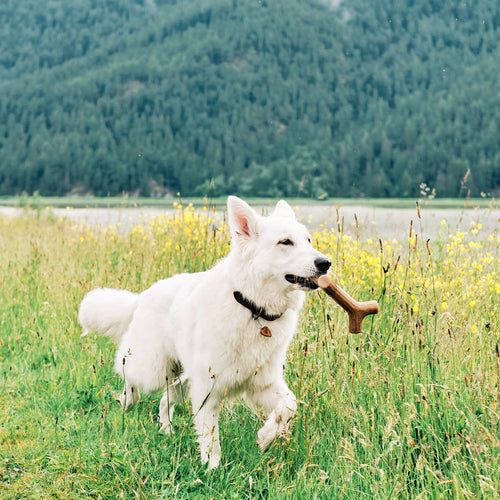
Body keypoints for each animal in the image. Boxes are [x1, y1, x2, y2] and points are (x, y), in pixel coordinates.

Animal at [78, 196, 330, 468]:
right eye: (285, 242)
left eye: (308, 240)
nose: (326, 263)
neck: (252, 307)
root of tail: (142, 297)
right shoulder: (208, 388)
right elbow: (210, 433)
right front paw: (212, 468)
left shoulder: (261, 384)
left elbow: (290, 405)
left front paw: (265, 436)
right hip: (155, 371)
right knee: (129, 372)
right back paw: (128, 401)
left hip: (183, 380)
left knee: (165, 399)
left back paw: (166, 431)